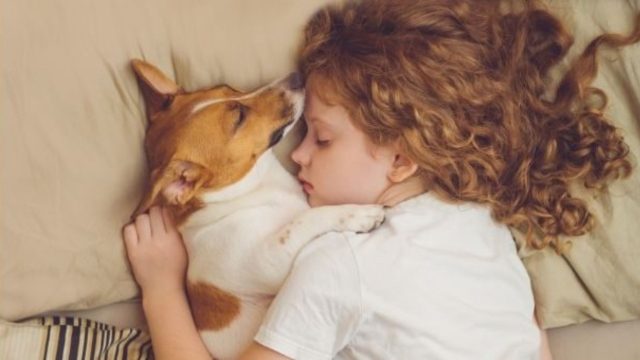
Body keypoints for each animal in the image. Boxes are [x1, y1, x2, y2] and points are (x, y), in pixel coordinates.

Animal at [127, 60, 382, 358]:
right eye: (239, 118)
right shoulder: (270, 260)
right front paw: (357, 213)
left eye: (227, 87)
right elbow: (305, 219)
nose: (297, 76)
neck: (249, 192)